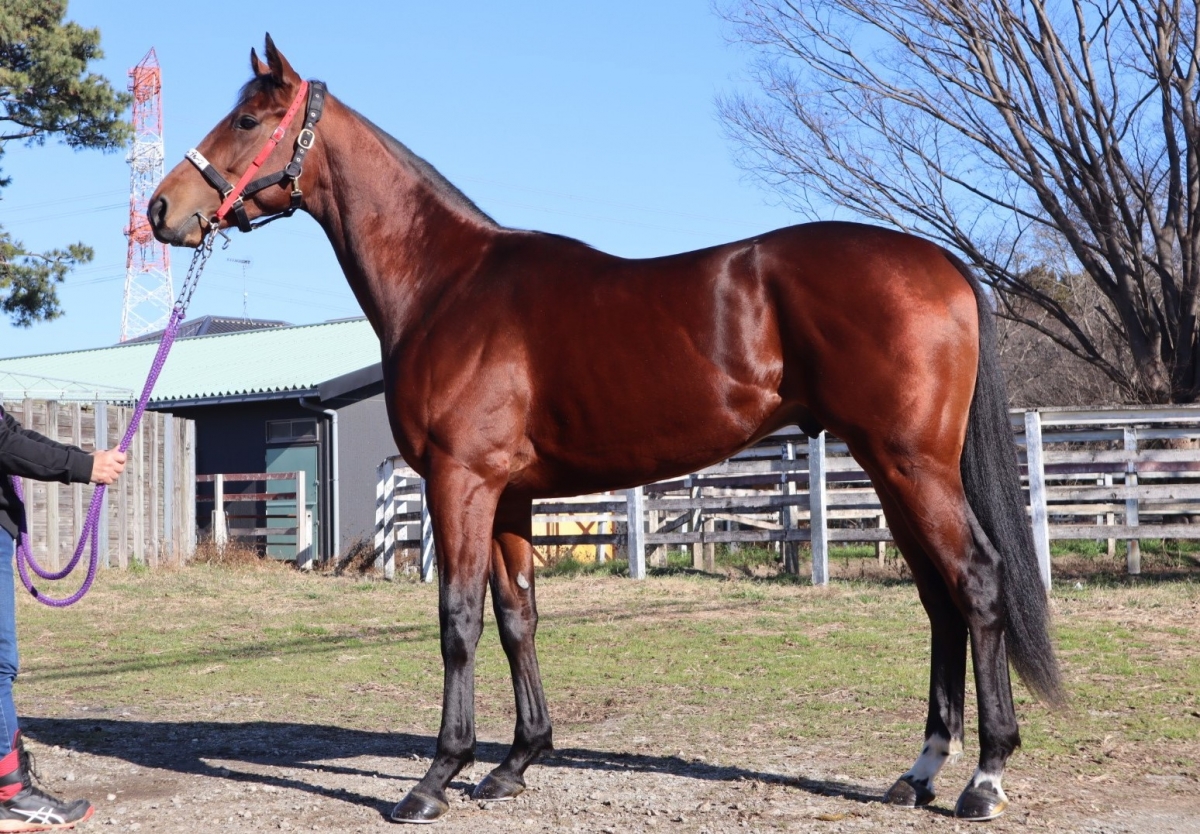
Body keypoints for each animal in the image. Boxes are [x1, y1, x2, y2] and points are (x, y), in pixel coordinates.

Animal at [148, 36, 1062, 824]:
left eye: (250, 120)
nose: (162, 209)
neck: (449, 285)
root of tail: (939, 262)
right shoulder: (510, 495)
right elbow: (517, 616)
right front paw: (516, 762)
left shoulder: (461, 482)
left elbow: (458, 621)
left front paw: (437, 776)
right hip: (889, 466)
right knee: (939, 600)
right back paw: (920, 773)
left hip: (912, 465)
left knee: (977, 583)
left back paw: (984, 777)